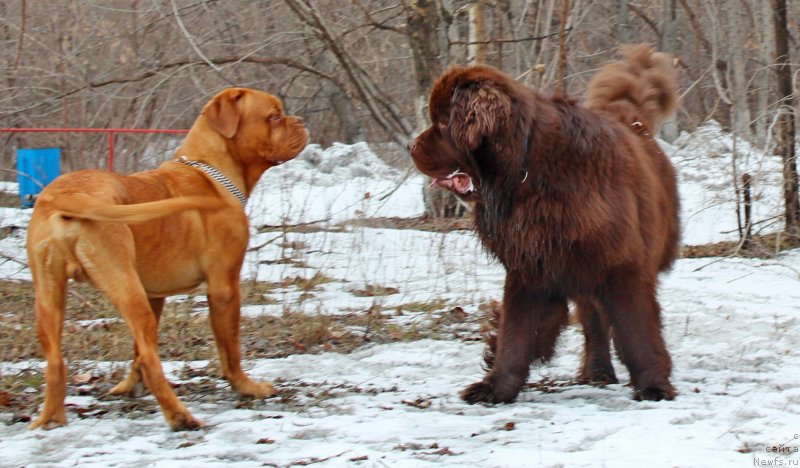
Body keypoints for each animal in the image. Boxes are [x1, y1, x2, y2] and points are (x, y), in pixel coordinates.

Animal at [26, 86, 308, 430]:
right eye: (274, 116)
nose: (300, 120)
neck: (212, 170)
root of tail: (66, 195)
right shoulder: (224, 288)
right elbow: (230, 349)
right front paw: (246, 386)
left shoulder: (154, 295)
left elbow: (136, 353)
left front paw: (128, 387)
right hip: (126, 287)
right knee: (152, 359)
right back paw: (180, 417)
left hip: (51, 296)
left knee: (57, 360)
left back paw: (50, 420)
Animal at [410, 44, 680, 402]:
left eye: (442, 121)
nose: (410, 146)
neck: (527, 175)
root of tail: (627, 115)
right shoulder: (530, 267)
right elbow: (516, 332)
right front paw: (496, 386)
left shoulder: (622, 264)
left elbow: (638, 330)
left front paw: (653, 385)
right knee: (594, 319)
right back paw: (597, 370)